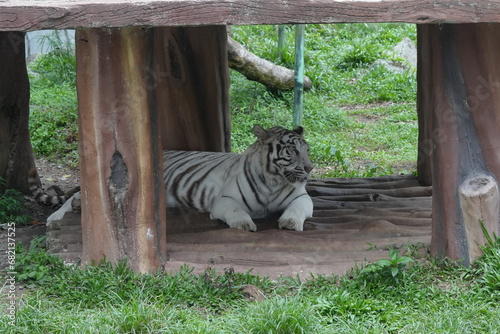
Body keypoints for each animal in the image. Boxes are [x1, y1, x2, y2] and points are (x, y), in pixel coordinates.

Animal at [164, 124, 312, 231]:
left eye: (307, 150)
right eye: (293, 150)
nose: (310, 168)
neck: (273, 182)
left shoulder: (302, 197)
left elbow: (297, 207)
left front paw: (290, 223)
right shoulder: (224, 199)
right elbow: (236, 210)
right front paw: (244, 224)